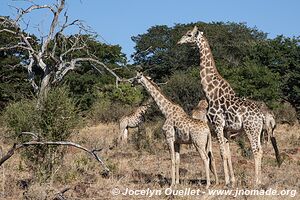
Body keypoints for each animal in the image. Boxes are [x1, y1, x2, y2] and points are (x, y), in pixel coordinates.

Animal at [179, 25, 282, 187]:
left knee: (256, 151)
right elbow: (228, 153)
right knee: (260, 150)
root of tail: (261, 116)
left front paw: (226, 181)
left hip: (251, 129)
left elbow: (222, 153)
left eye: (189, 34)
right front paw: (232, 180)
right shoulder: (226, 129)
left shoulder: (218, 124)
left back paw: (256, 182)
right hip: (259, 131)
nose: (179, 41)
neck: (210, 92)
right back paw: (258, 180)